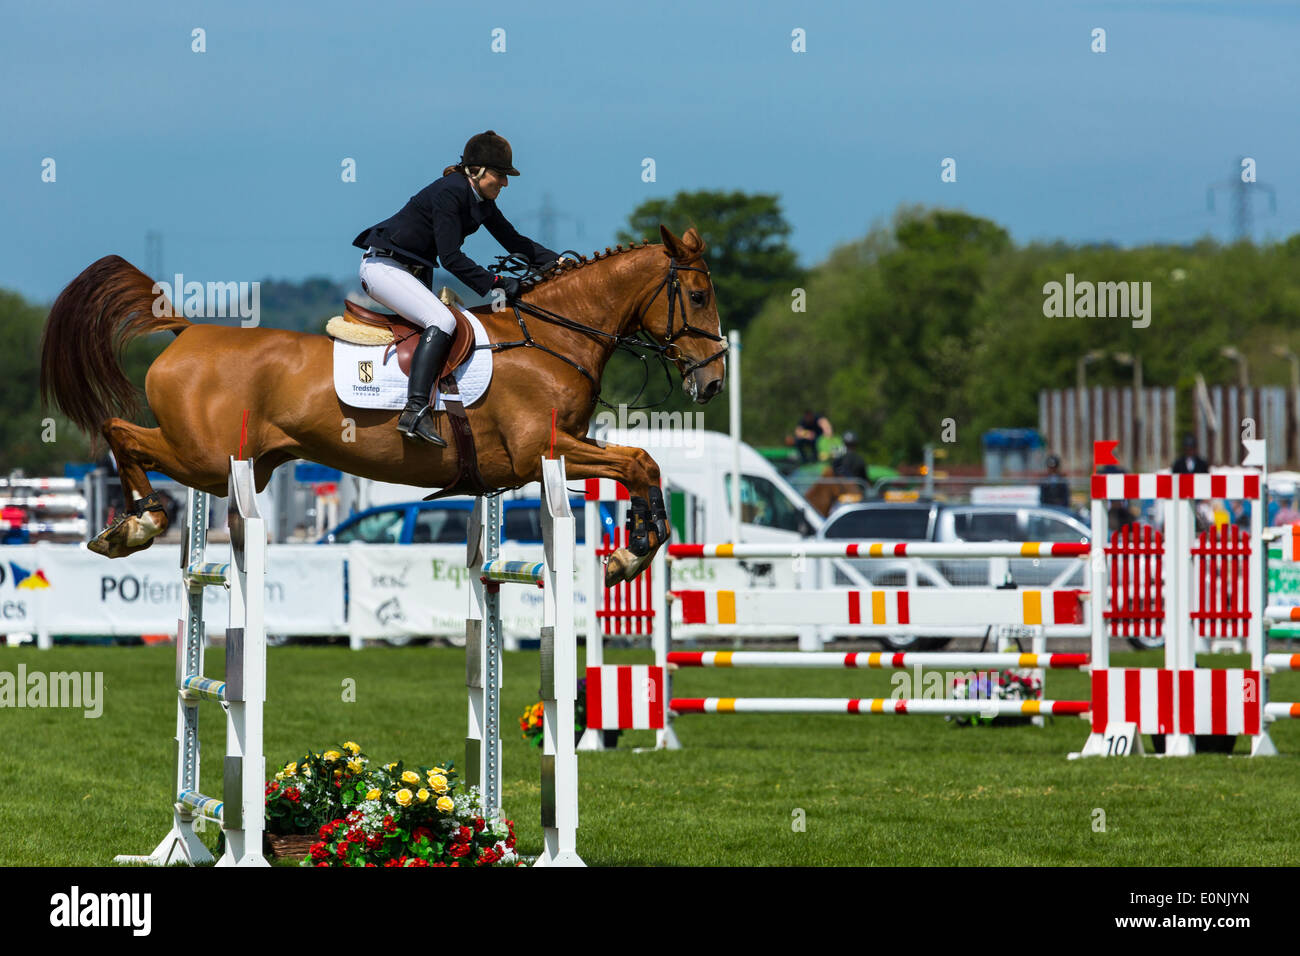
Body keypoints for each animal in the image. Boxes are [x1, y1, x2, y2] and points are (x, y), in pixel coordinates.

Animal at [40, 225, 728, 587]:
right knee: (120, 431)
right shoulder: (544, 451)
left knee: (126, 435)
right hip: (207, 458)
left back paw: (131, 523)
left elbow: (643, 463)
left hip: (240, 466)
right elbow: (637, 461)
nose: (715, 382)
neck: (551, 338)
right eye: (696, 296)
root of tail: (187, 331)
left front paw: (635, 543)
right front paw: (633, 550)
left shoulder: (554, 456)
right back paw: (138, 522)